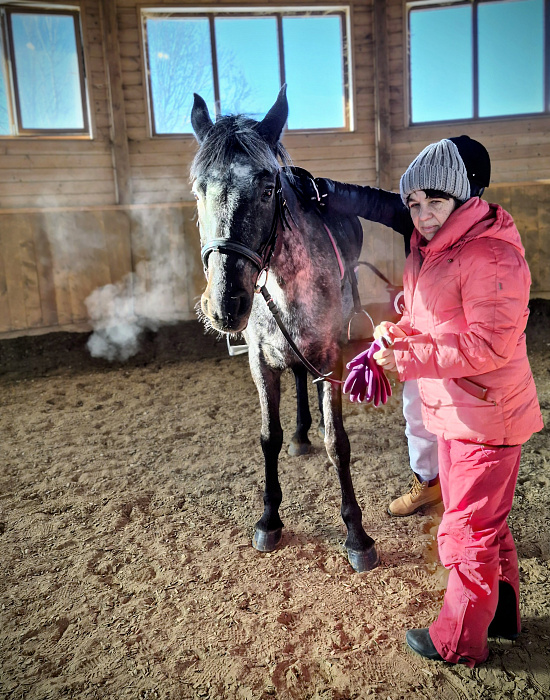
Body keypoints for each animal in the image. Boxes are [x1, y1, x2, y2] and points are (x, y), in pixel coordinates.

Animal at [190, 85, 379, 573]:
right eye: (198, 190)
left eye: (267, 187)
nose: (225, 303)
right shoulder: (260, 359)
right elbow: (267, 437)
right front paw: (269, 518)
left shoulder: (330, 355)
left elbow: (337, 442)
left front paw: (357, 535)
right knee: (296, 377)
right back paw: (299, 434)